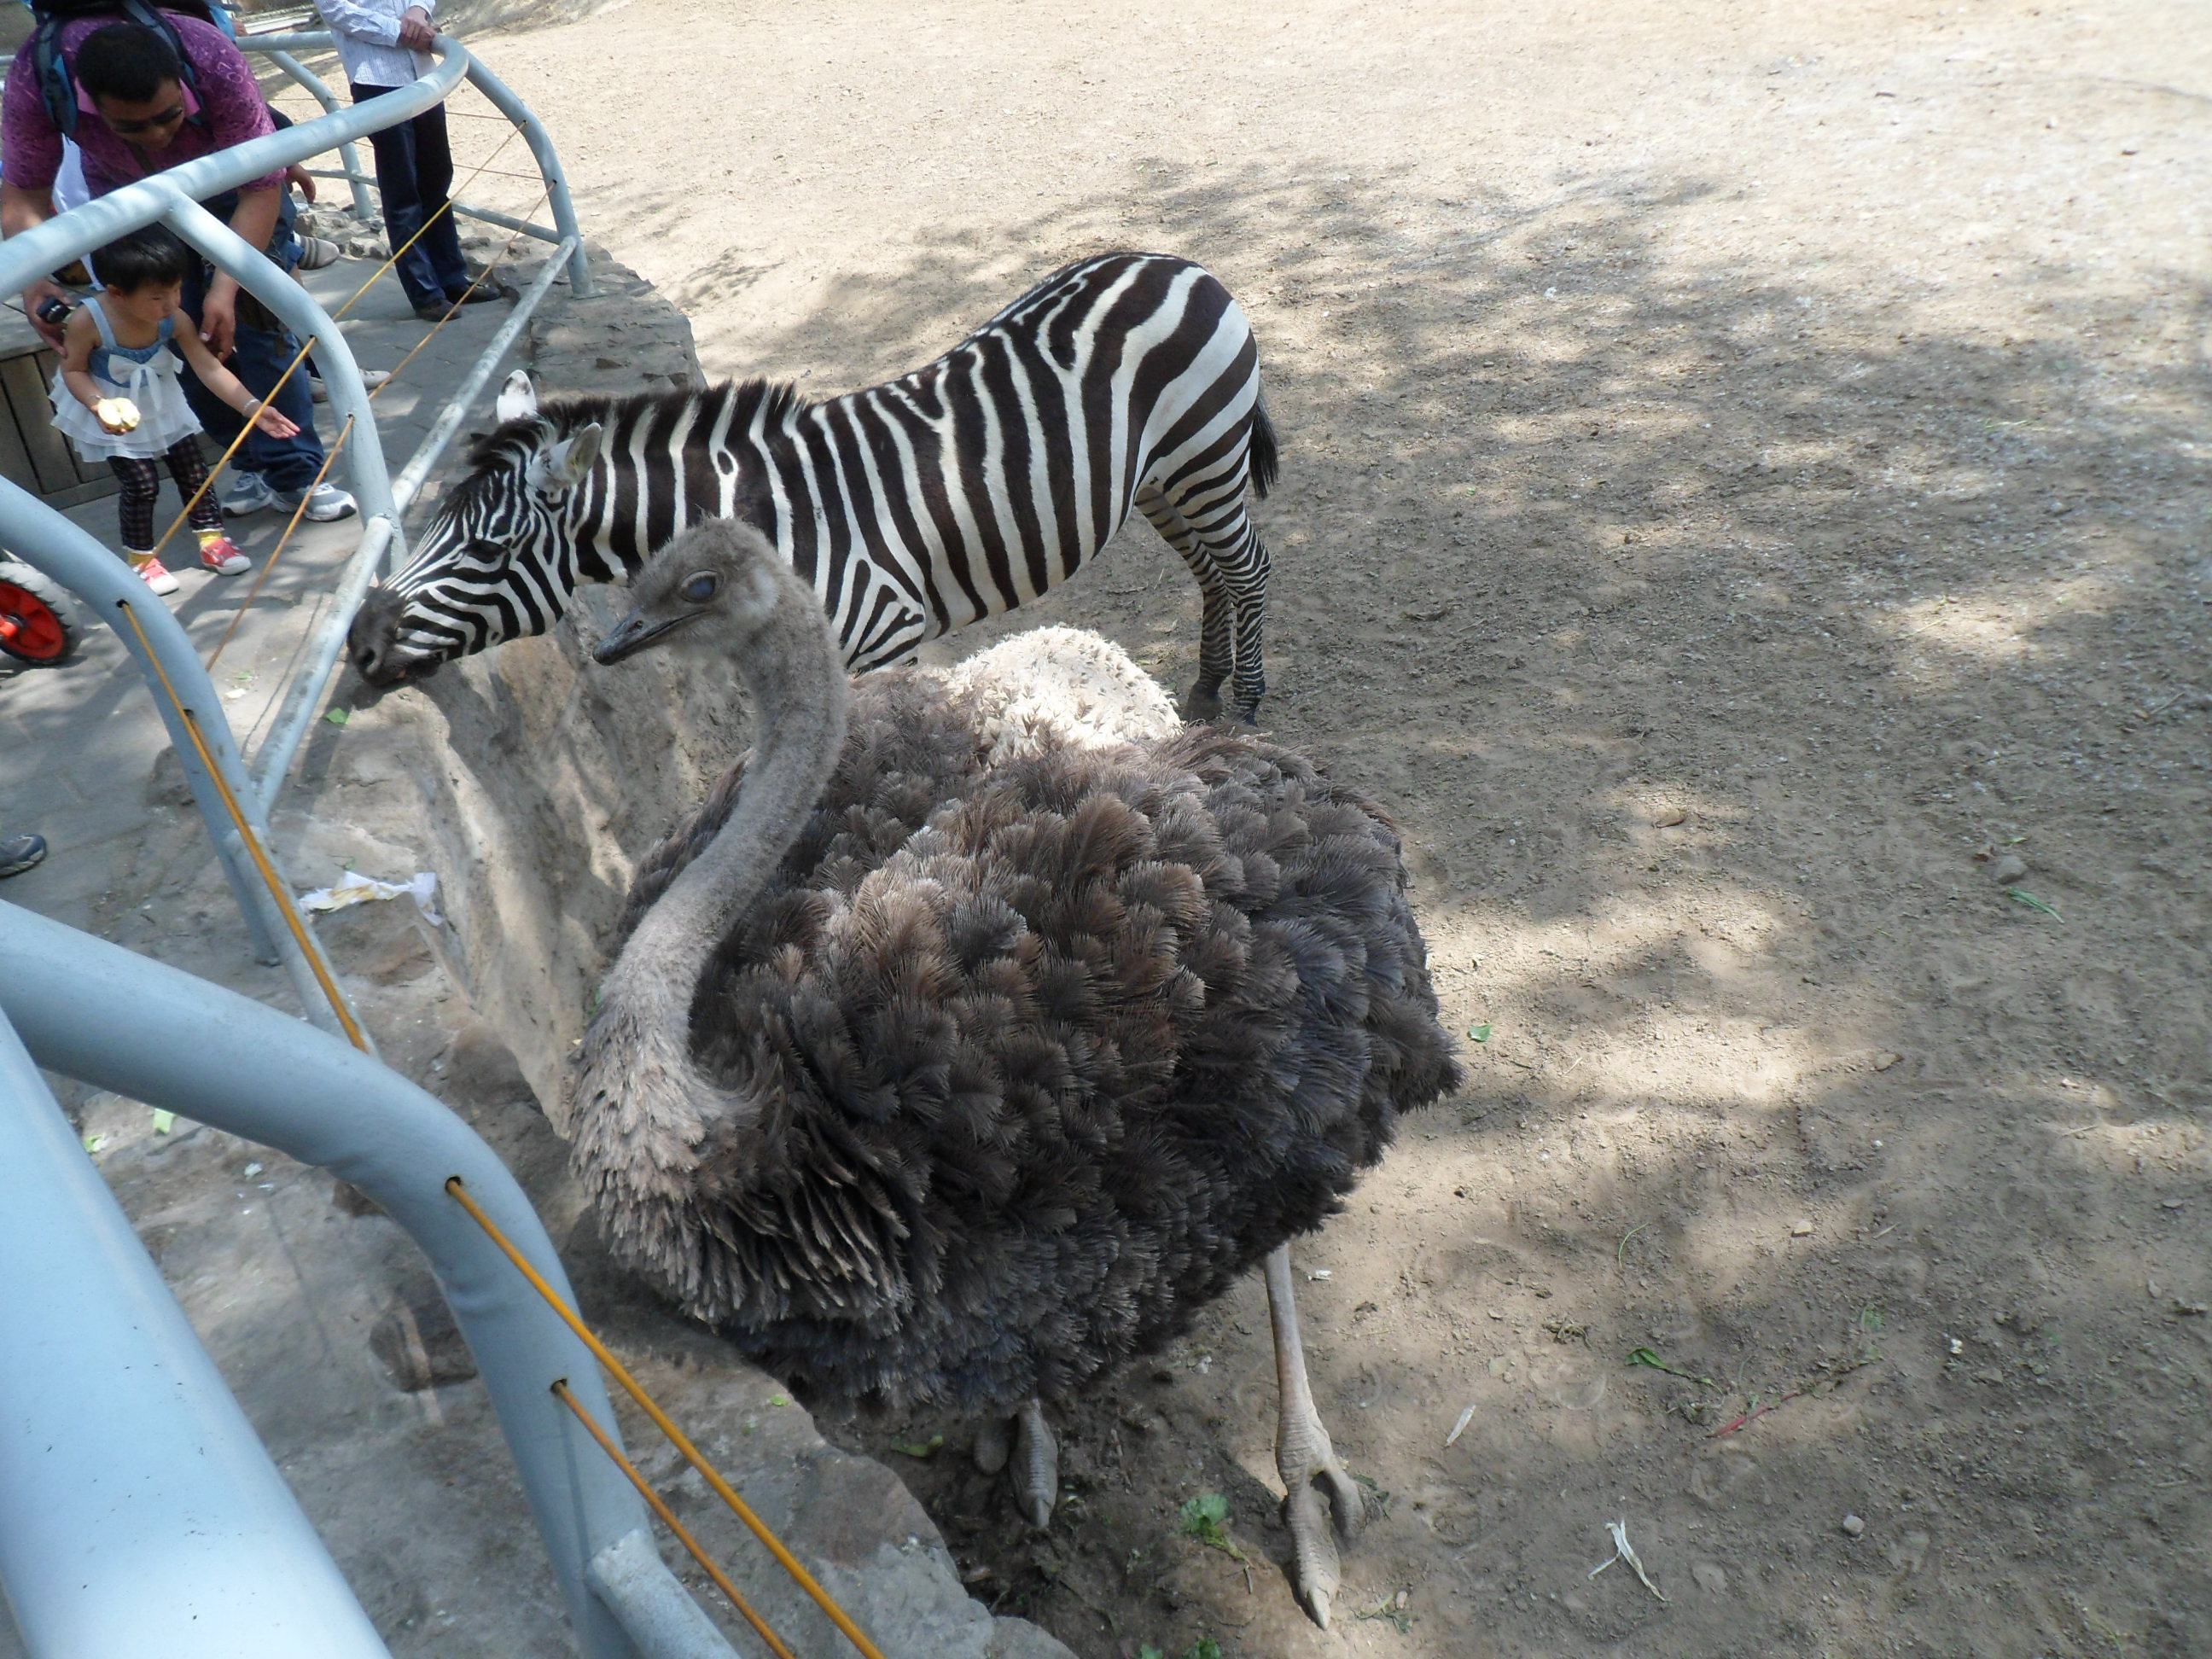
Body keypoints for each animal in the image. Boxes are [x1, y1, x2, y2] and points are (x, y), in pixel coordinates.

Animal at [345, 259, 1283, 720]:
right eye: (430, 526)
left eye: (488, 548)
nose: (357, 645)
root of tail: (1173, 262)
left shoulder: (888, 635)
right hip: (1156, 475)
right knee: (1210, 571)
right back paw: (1204, 688)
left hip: (1206, 452)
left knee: (1250, 570)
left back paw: (1246, 699)